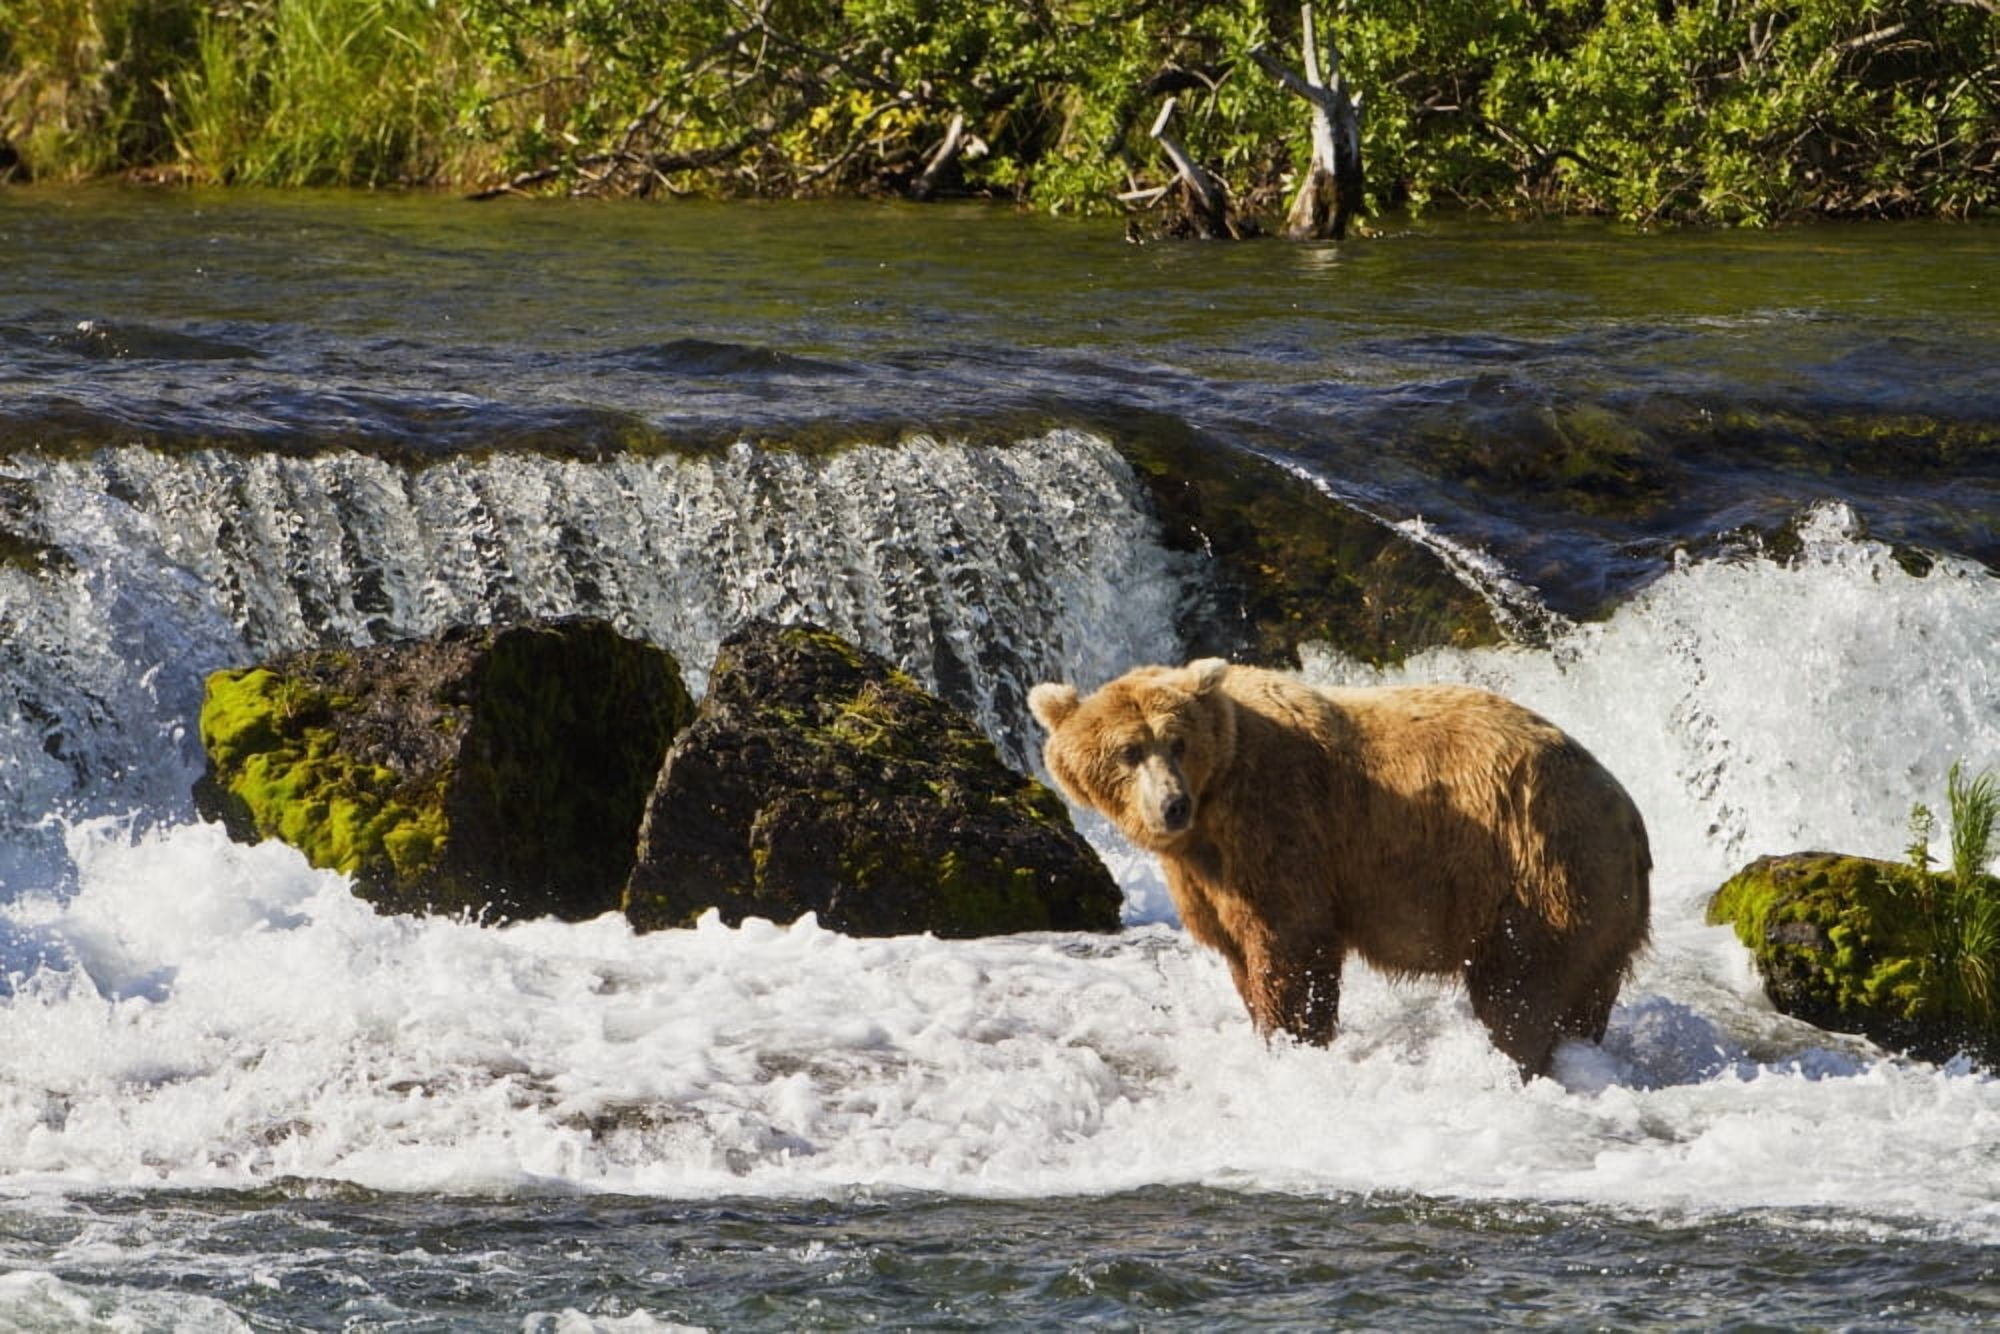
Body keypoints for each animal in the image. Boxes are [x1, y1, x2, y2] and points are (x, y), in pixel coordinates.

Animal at [1028, 659, 1650, 1078]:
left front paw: (1291, 1042)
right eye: (1129, 751)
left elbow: (1292, 945)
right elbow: (1237, 951)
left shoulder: (1279, 826)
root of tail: (1625, 806)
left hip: (1536, 870)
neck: (1211, 812)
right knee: (1583, 997)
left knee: (1519, 990)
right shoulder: (1206, 876)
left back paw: (1513, 1062)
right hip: (1599, 902)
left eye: (1176, 742)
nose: (1171, 805)